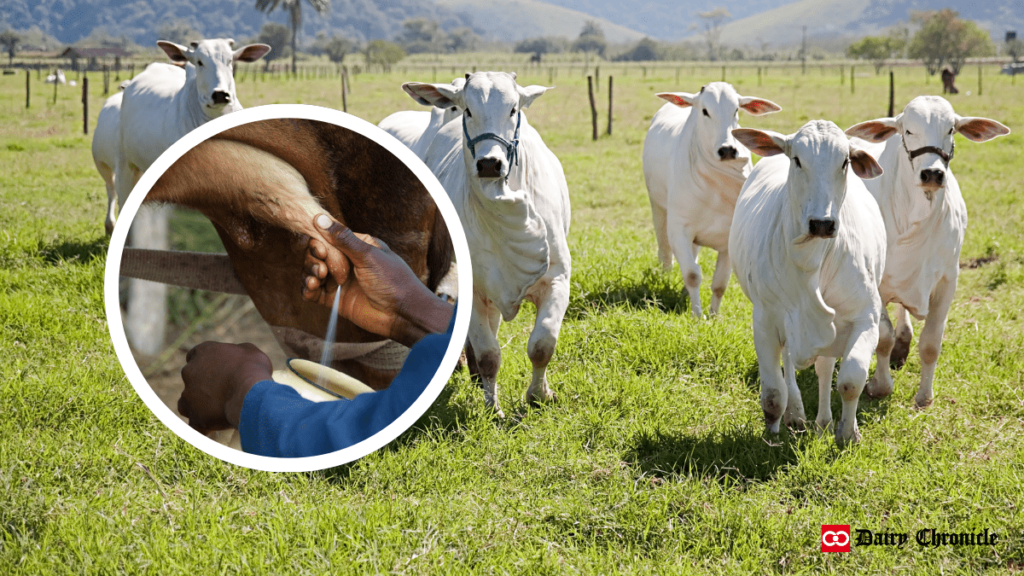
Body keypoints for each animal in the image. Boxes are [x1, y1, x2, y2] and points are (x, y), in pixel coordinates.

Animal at [403, 71, 573, 414]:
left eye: (513, 109)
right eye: (468, 110)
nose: (490, 163)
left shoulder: (558, 278)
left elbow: (542, 344)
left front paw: (539, 395)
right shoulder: (475, 289)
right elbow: (488, 354)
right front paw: (492, 408)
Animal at [643, 81, 778, 315]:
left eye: (736, 110)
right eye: (705, 111)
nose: (727, 150)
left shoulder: (727, 240)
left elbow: (719, 283)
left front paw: (714, 315)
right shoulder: (679, 229)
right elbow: (692, 275)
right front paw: (697, 315)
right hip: (658, 209)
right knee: (665, 252)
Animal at [729, 119, 888, 444]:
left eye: (845, 161)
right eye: (797, 160)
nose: (822, 223)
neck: (811, 261)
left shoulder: (866, 316)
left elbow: (851, 379)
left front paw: (847, 433)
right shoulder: (765, 321)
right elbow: (773, 393)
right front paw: (771, 436)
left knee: (825, 369)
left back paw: (824, 422)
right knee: (789, 366)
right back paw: (796, 414)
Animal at [839, 96, 1007, 405]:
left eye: (951, 129)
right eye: (908, 130)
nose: (932, 173)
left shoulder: (947, 280)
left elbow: (931, 343)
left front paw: (924, 397)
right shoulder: (876, 283)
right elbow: (883, 337)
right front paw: (879, 386)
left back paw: (904, 342)